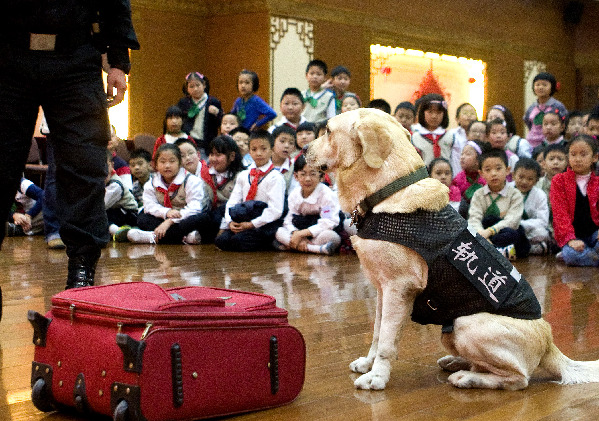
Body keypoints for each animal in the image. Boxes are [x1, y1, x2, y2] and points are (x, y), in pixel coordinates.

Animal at [308, 108, 599, 390]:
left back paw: (468, 378)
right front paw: (368, 364)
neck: (387, 191)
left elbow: (387, 343)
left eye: (328, 130)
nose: (306, 149)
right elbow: (378, 334)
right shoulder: (383, 289)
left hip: (466, 323)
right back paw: (457, 362)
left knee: (518, 379)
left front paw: (377, 377)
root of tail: (549, 343)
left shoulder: (398, 288)